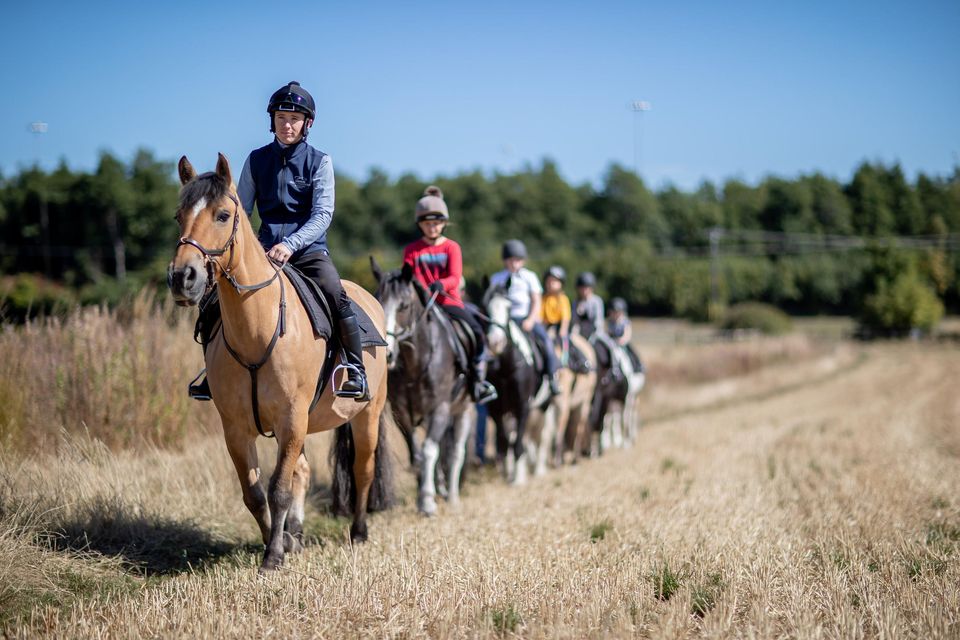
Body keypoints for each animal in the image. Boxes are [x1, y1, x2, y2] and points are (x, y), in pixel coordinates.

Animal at [167, 156, 392, 576]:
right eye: (179, 216)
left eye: (223, 215)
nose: (182, 277)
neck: (258, 328)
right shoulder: (237, 429)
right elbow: (255, 493)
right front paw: (282, 541)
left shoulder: (291, 420)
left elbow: (279, 489)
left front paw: (273, 555)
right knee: (303, 472)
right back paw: (298, 535)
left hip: (366, 415)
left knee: (362, 470)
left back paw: (358, 533)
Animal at [370, 258, 474, 516]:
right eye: (378, 302)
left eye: (404, 305)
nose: (387, 354)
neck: (415, 363)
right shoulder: (402, 414)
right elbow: (417, 455)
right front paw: (423, 495)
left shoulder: (440, 409)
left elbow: (429, 451)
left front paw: (427, 502)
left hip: (463, 410)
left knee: (455, 452)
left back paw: (452, 495)